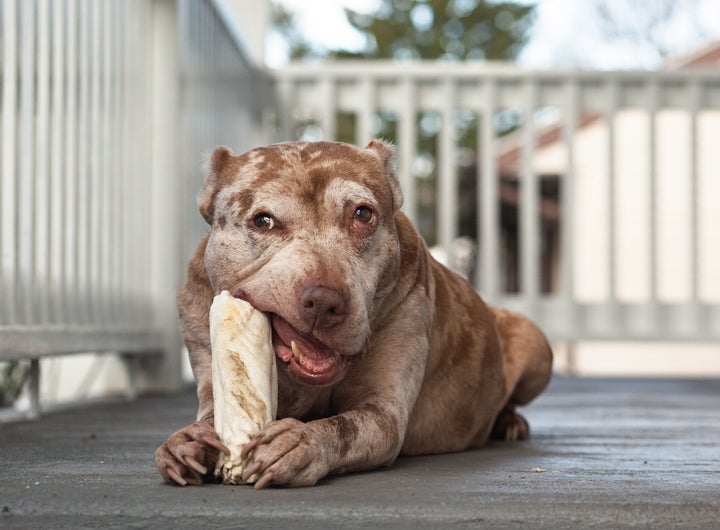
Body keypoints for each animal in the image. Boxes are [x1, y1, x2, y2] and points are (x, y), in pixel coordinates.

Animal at [156, 138, 552, 484]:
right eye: (263, 221)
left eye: (362, 214)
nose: (324, 302)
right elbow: (213, 415)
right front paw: (187, 441)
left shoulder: (383, 413)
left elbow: (345, 426)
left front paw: (302, 441)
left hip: (536, 348)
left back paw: (509, 422)